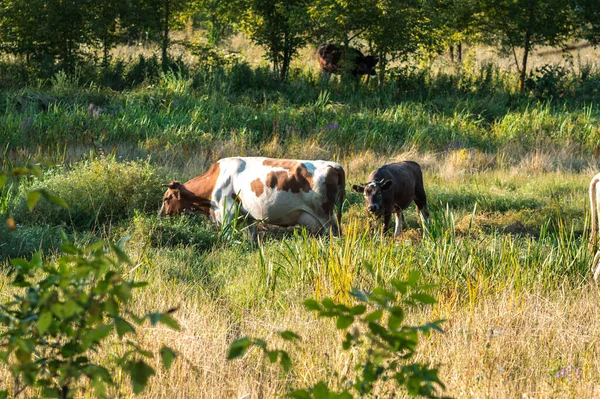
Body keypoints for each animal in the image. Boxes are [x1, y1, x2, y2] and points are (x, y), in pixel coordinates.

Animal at [161, 157, 346, 238]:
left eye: (166, 198)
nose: (160, 214)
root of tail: (334, 165)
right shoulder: (247, 216)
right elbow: (251, 237)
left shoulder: (227, 213)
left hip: (326, 217)